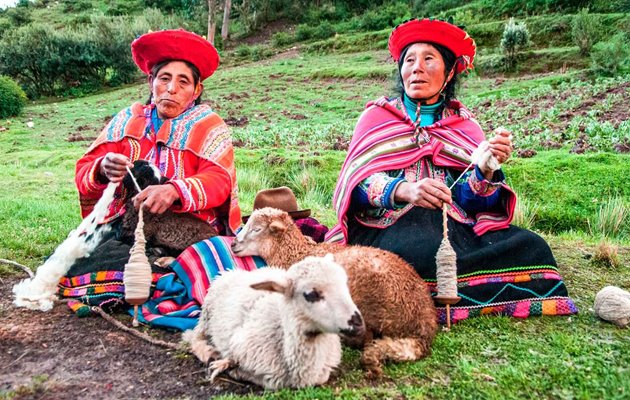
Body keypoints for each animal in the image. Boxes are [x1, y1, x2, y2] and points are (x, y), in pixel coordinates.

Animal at [183, 255, 366, 390]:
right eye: (311, 294)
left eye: (345, 285)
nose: (358, 323)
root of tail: (236, 271)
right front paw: (228, 366)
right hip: (207, 314)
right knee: (193, 337)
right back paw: (207, 351)